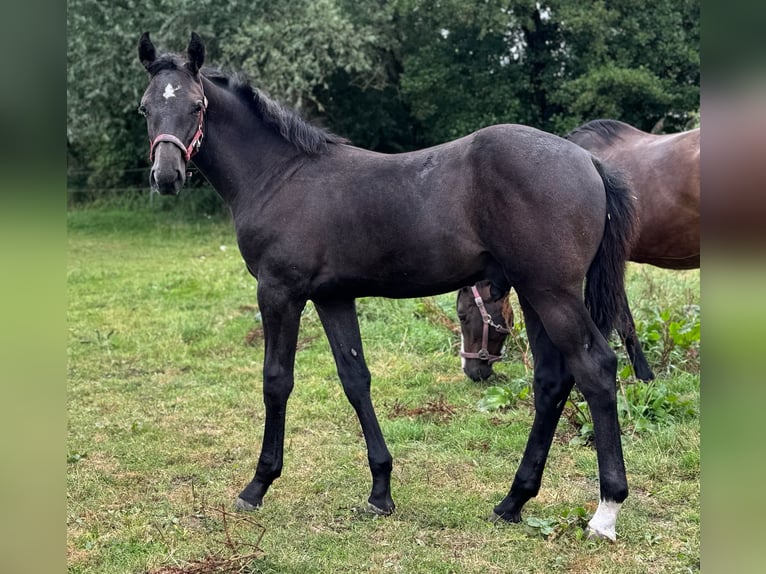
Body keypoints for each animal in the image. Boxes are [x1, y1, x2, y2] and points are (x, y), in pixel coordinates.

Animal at [137, 32, 638, 540]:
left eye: (196, 106)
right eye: (144, 108)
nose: (166, 176)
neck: (279, 175)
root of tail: (588, 160)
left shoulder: (280, 293)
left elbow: (276, 381)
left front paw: (257, 486)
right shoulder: (333, 297)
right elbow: (355, 380)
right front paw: (380, 492)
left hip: (552, 293)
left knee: (596, 370)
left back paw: (605, 511)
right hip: (535, 295)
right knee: (552, 381)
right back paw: (513, 500)